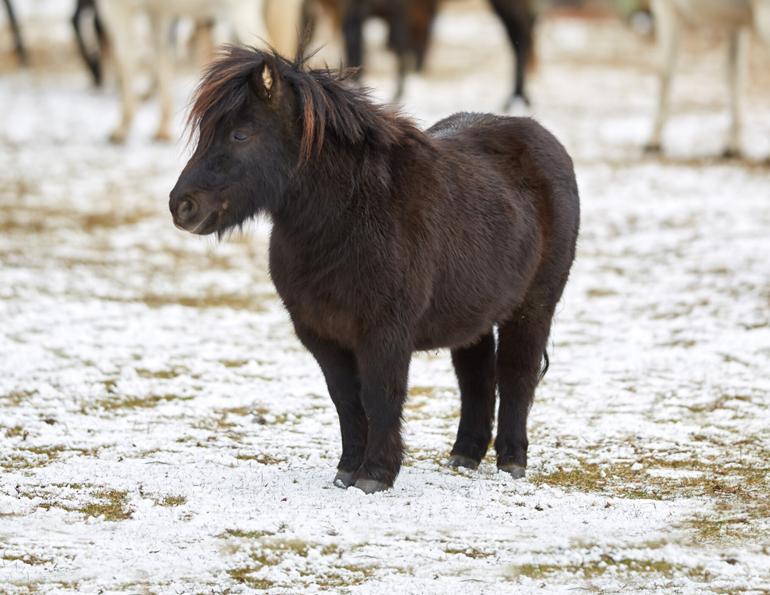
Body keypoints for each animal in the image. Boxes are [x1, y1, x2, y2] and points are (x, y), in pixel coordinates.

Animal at [169, 46, 580, 493]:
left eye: (240, 134)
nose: (181, 206)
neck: (350, 217)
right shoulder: (321, 333)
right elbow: (346, 400)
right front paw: (347, 470)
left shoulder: (385, 333)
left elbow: (381, 397)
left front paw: (376, 475)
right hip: (474, 314)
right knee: (477, 377)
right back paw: (465, 455)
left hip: (534, 307)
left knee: (516, 375)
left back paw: (512, 461)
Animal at [646, 0, 770, 157]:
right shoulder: (735, 24)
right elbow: (734, 75)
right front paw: (733, 145)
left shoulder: (666, 8)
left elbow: (665, 73)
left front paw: (654, 140)